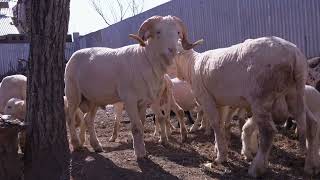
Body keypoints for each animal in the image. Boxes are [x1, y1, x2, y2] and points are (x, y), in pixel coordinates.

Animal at [174, 35, 318, 176]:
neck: (190, 65)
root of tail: (294, 54)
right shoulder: (220, 103)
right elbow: (221, 124)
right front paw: (218, 148)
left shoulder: (207, 99)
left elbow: (216, 124)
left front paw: (220, 158)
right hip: (295, 94)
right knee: (312, 124)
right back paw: (311, 166)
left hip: (262, 98)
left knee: (268, 132)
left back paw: (256, 169)